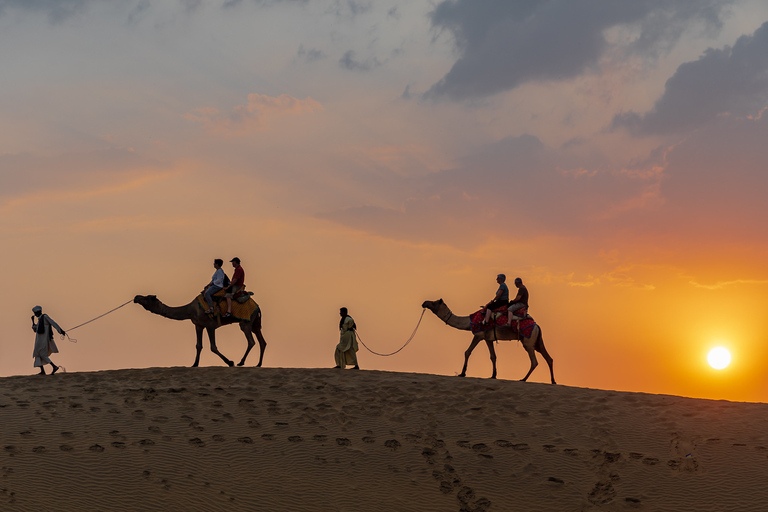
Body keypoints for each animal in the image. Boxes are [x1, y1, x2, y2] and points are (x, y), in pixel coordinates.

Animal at [130, 294, 266, 366]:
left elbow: (213, 347)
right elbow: (198, 345)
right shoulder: (198, 325)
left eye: (148, 297)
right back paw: (258, 364)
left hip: (246, 322)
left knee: (251, 341)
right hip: (255, 322)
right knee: (262, 341)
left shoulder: (210, 325)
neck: (192, 309)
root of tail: (258, 306)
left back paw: (241, 362)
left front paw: (230, 362)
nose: (136, 297)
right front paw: (194, 364)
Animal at [424, 298, 556, 382]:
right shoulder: (488, 339)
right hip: (537, 341)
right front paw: (493, 375)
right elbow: (493, 356)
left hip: (528, 341)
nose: (424, 302)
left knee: (534, 361)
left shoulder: (478, 335)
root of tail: (537, 326)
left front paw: (462, 373)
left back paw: (523, 379)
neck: (469, 322)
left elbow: (467, 352)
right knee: (549, 358)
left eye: (434, 302)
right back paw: (553, 381)